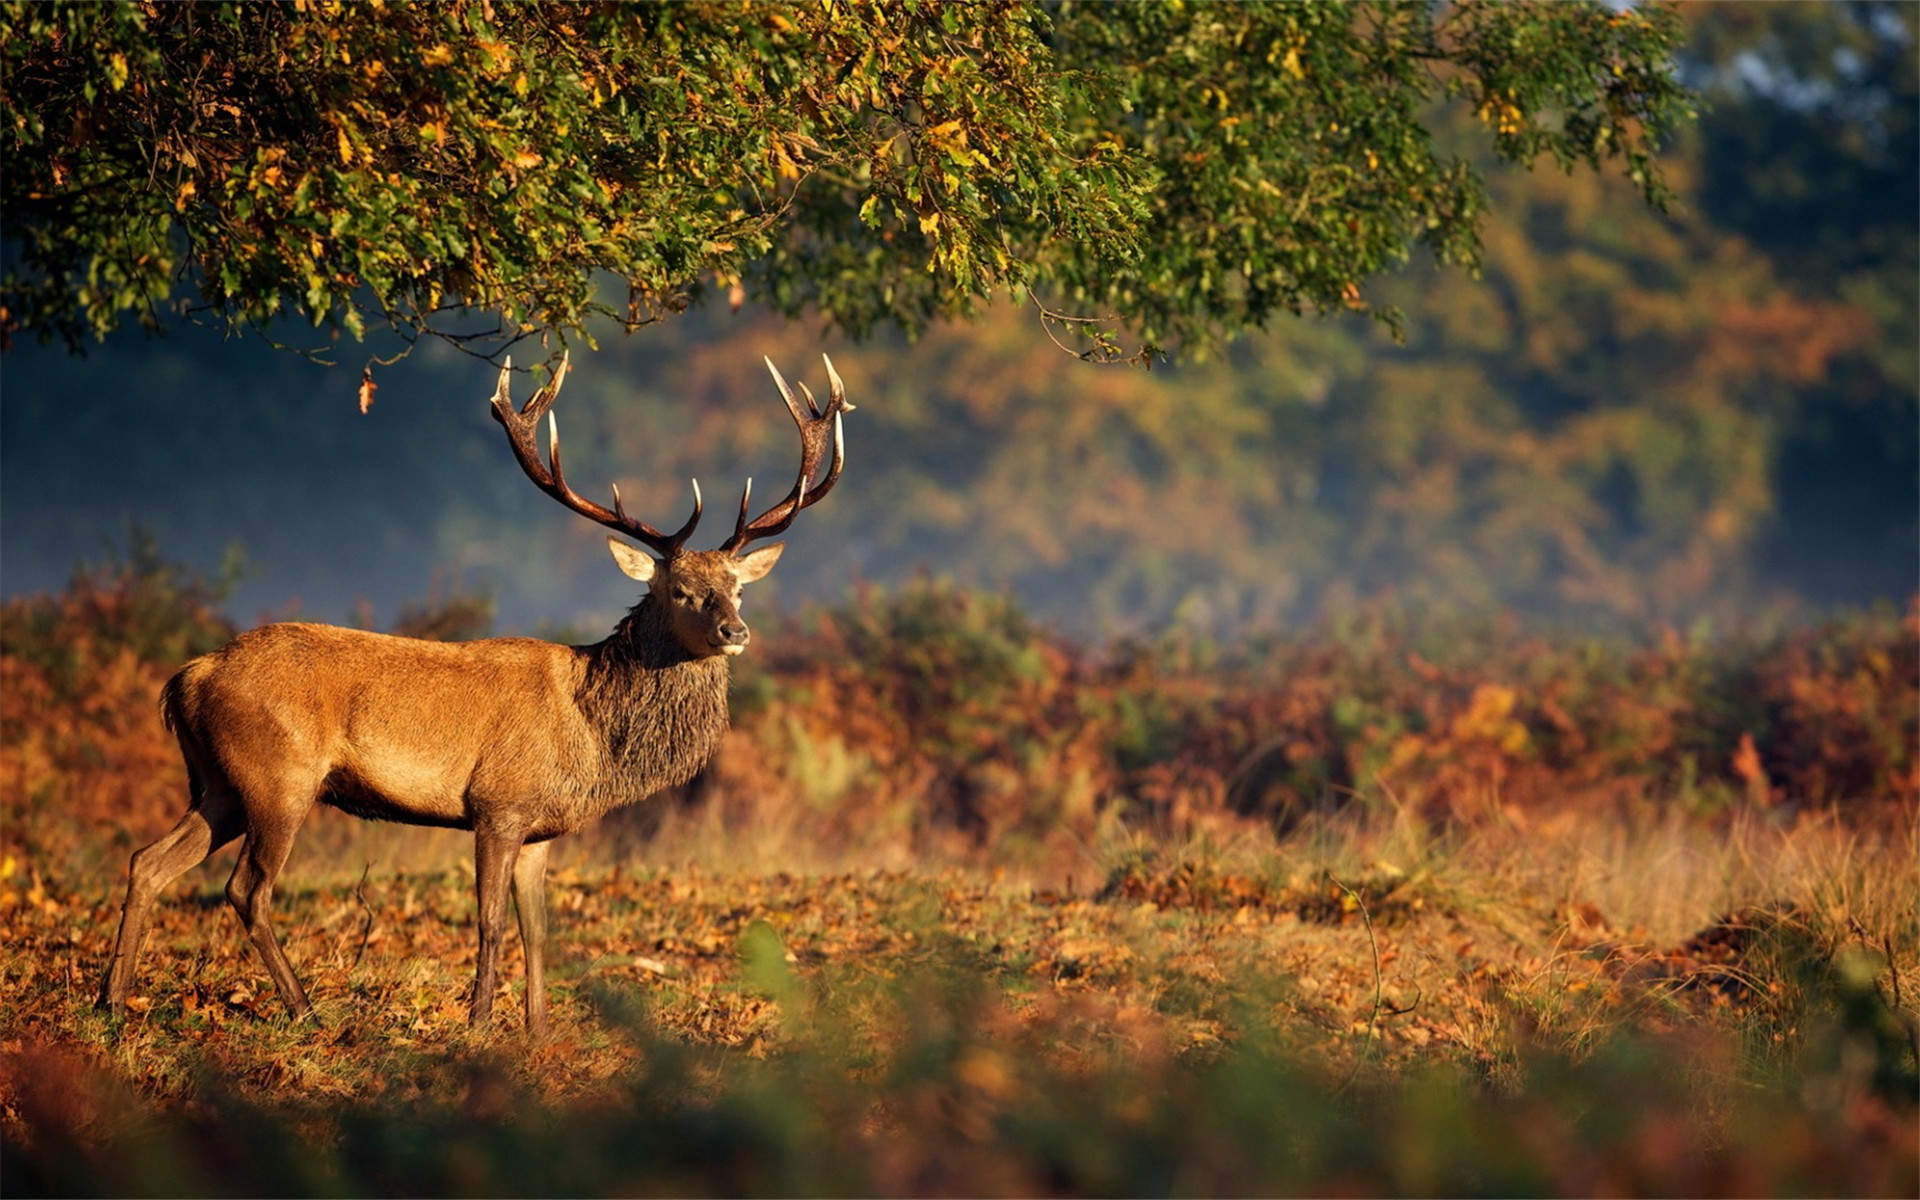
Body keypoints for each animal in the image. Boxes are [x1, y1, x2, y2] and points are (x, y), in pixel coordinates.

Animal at [97, 353, 853, 1035]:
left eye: (739, 586)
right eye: (680, 589)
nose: (735, 630)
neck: (592, 735)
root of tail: (188, 677)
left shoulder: (542, 828)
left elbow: (537, 929)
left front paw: (539, 1030)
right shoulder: (497, 804)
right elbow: (488, 921)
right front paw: (480, 1023)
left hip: (219, 784)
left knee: (148, 862)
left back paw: (113, 1004)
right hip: (278, 776)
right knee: (247, 890)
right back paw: (306, 1010)